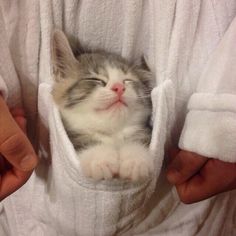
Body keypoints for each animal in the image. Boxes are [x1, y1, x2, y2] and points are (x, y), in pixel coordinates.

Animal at [51, 29, 153, 181]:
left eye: (127, 80)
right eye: (95, 79)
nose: (119, 87)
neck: (111, 133)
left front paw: (135, 159)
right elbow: (80, 141)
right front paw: (100, 159)